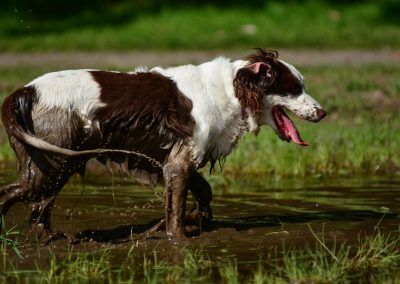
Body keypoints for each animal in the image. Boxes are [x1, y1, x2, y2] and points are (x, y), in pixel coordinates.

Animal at [0, 48, 324, 242]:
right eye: (295, 88)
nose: (322, 113)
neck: (231, 90)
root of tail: (26, 90)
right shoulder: (179, 164)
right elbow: (177, 211)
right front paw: (178, 238)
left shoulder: (180, 158)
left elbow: (203, 192)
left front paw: (198, 219)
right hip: (51, 162)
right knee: (13, 193)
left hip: (54, 165)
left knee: (40, 205)